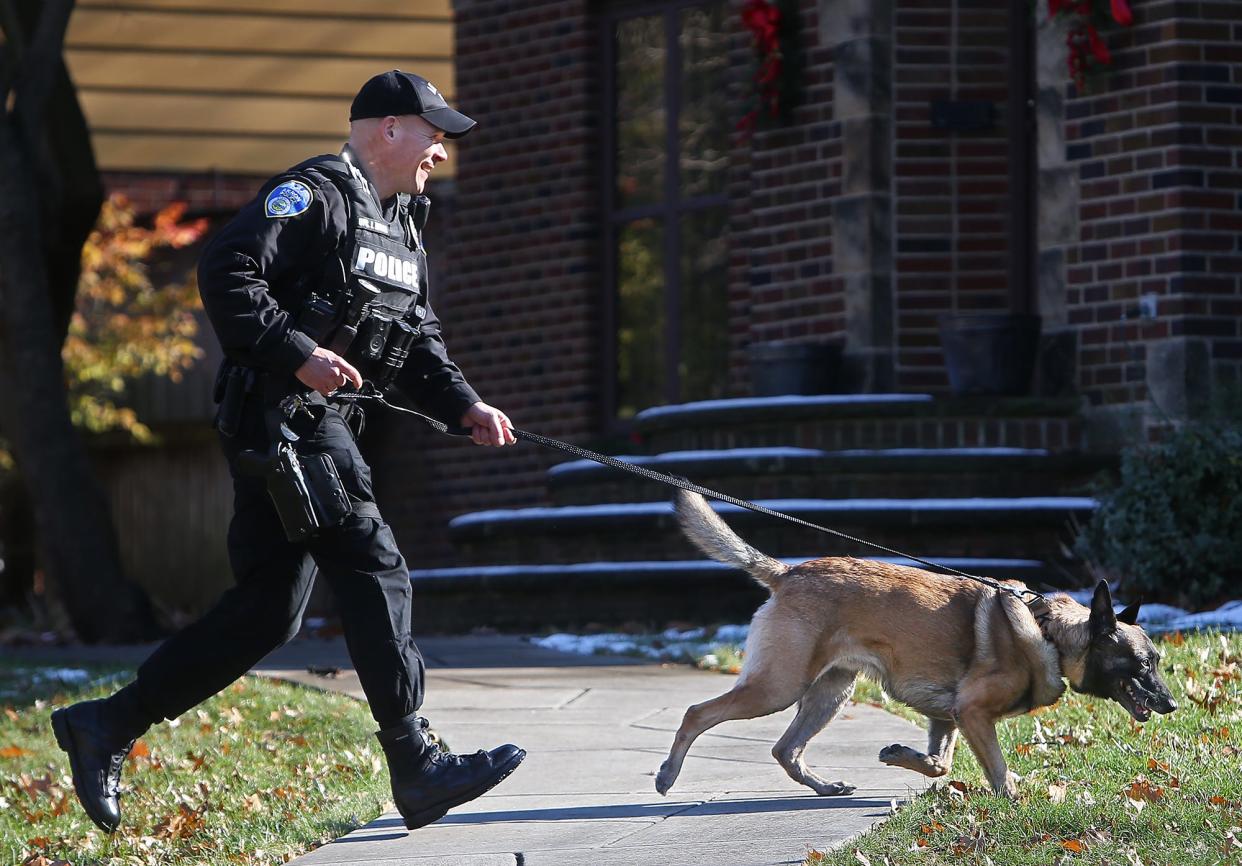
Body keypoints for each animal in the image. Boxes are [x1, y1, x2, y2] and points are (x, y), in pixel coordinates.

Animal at [655, 492, 1177, 795]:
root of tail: (789, 573)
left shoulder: (948, 716)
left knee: (786, 750)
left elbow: (940, 763)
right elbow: (997, 771)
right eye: (1140, 664)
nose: (1172, 705)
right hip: (777, 687)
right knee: (697, 713)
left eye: (1157, 661)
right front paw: (1014, 802)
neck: (1049, 631)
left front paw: (902, 756)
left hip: (830, 691)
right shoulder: (972, 713)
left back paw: (824, 787)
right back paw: (666, 776)